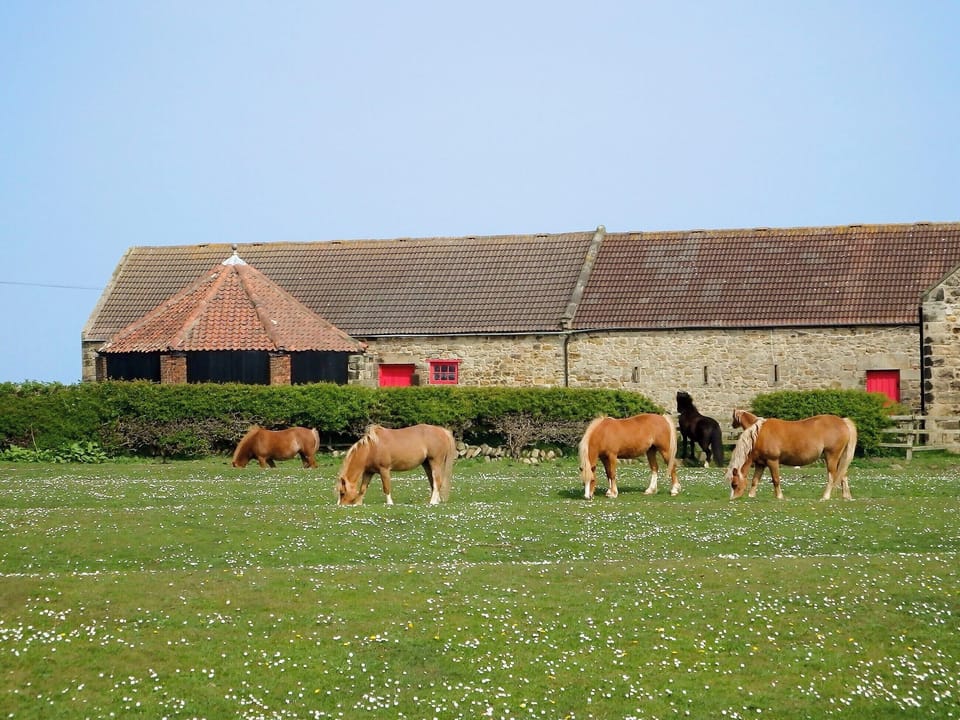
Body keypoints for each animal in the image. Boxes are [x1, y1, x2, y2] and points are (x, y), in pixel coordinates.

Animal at [725, 409, 857, 500]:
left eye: (734, 484)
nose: (733, 499)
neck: (758, 435)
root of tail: (843, 421)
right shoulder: (760, 464)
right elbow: (755, 480)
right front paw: (751, 496)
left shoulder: (772, 461)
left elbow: (776, 479)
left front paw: (779, 497)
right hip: (840, 458)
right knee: (843, 474)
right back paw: (846, 496)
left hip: (831, 456)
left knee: (832, 476)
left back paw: (825, 497)